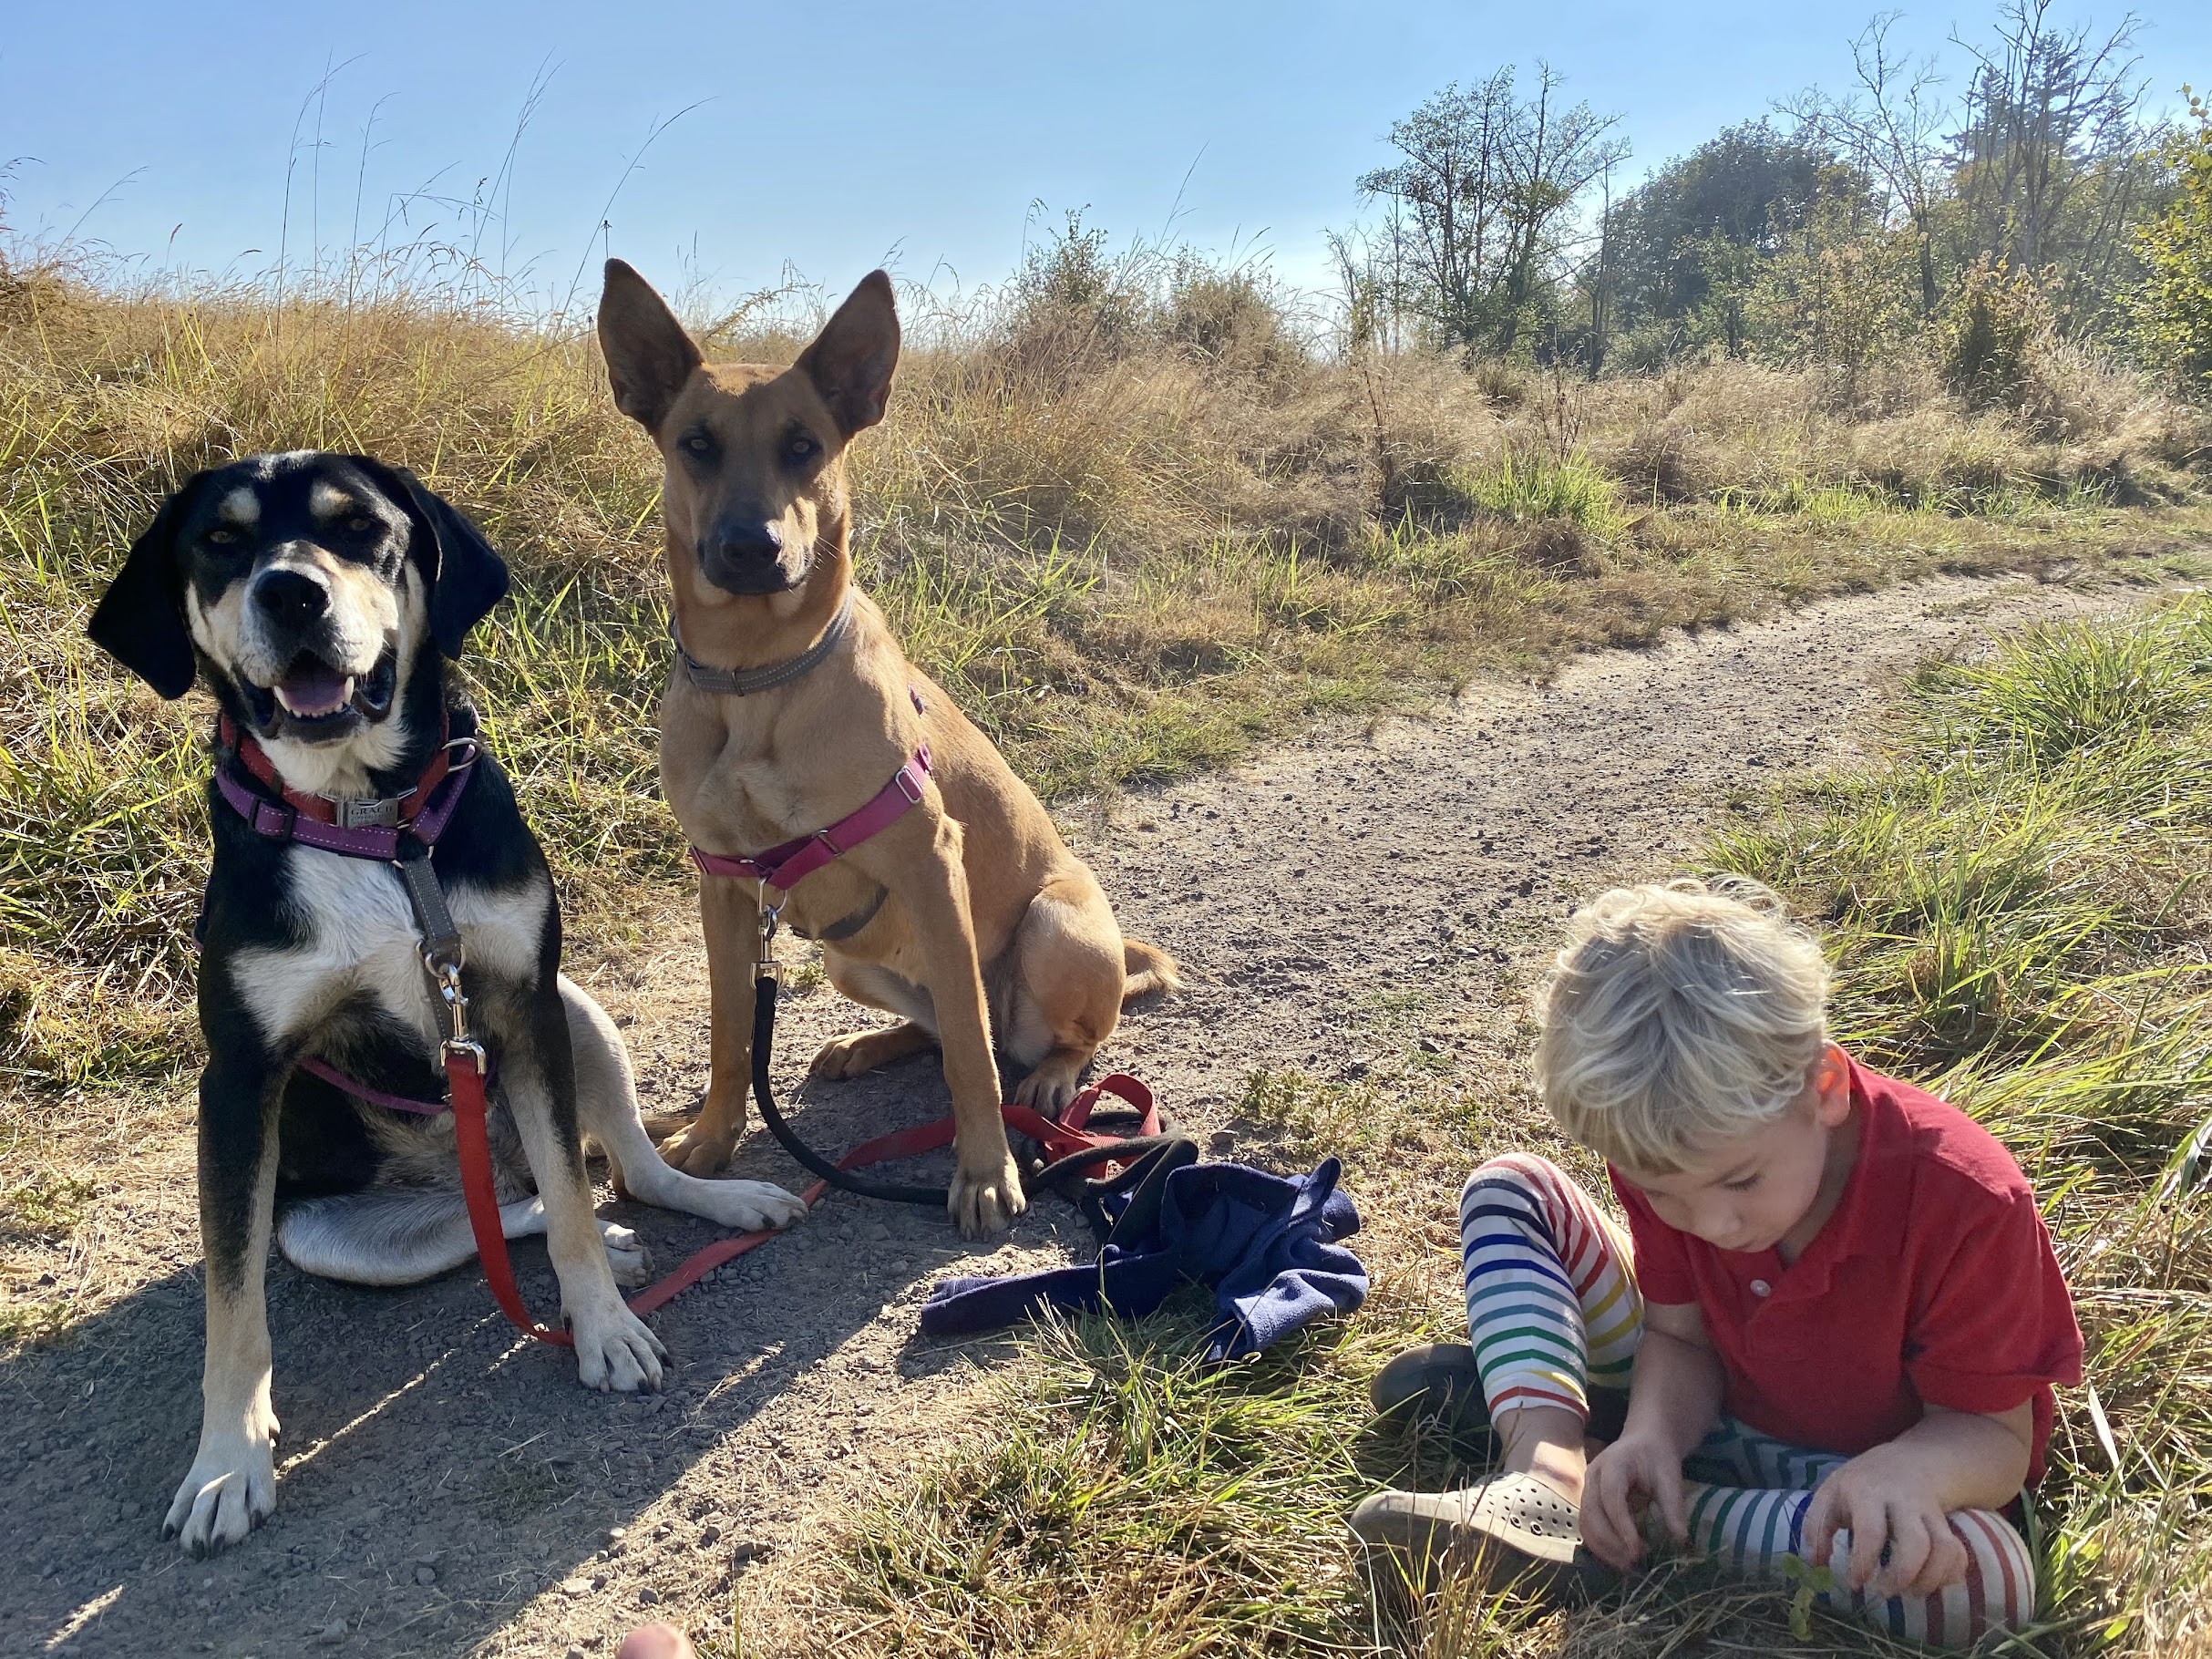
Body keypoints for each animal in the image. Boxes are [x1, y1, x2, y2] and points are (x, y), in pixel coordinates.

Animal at [86, 451, 808, 1558]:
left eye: (359, 528)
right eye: (221, 541)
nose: (290, 592)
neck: (371, 823)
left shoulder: (522, 1000)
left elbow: (576, 1206)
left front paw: (604, 1327)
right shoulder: (239, 1082)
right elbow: (232, 1308)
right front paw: (226, 1461)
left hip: (577, 1008)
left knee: (615, 1172)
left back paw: (706, 1202)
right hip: (326, 1229)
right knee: (502, 1213)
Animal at [596, 261, 1179, 1238]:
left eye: (804, 446)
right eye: (696, 444)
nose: (749, 549)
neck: (758, 677)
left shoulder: (929, 859)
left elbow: (972, 1063)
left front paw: (983, 1171)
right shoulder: (723, 884)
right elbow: (728, 1033)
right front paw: (711, 1138)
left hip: (1055, 928)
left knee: (1025, 1038)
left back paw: (1050, 1075)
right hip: (846, 960)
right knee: (948, 1025)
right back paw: (870, 1043)